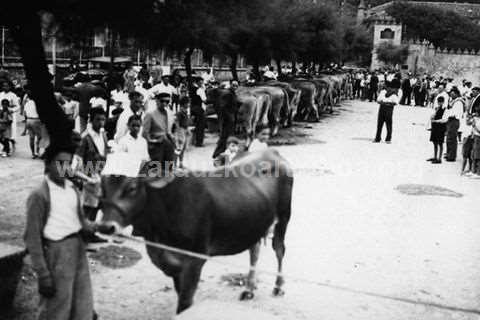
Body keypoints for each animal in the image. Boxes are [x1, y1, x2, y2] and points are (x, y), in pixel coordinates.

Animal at [97, 149, 292, 314]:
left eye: (131, 188)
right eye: (102, 188)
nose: (106, 227)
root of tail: (271, 152)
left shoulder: (195, 260)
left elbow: (184, 303)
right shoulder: (174, 265)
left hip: (283, 216)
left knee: (279, 249)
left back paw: (279, 286)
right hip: (256, 222)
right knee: (255, 250)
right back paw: (249, 288)